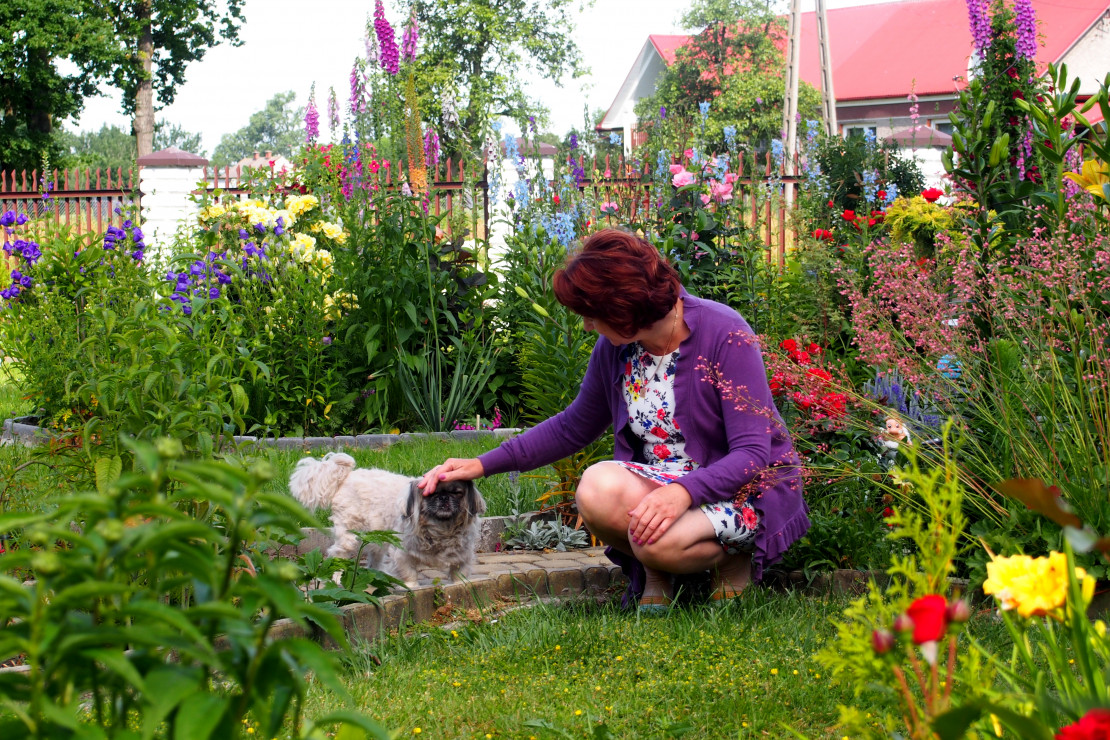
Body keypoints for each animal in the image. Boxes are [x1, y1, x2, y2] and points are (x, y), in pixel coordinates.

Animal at [290, 448, 486, 585]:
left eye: (457, 493)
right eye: (430, 493)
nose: (444, 497)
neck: (441, 528)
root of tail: (347, 476)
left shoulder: (462, 556)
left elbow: (459, 573)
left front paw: (460, 585)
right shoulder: (402, 553)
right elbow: (410, 575)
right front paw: (412, 587)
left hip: (377, 536)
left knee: (374, 559)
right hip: (349, 536)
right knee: (337, 554)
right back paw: (336, 577)